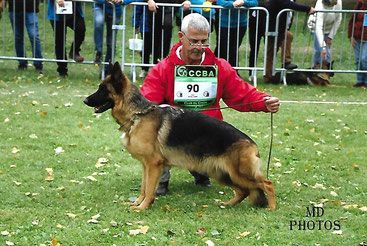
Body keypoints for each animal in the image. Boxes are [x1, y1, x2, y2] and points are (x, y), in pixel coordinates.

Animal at [84, 62, 276, 210]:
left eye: (102, 89)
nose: (85, 100)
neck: (138, 114)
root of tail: (252, 144)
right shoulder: (146, 166)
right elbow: (144, 187)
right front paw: (138, 203)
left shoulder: (153, 164)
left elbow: (149, 189)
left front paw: (143, 207)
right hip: (224, 173)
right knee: (244, 191)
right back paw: (227, 204)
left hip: (239, 173)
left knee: (267, 184)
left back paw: (271, 208)